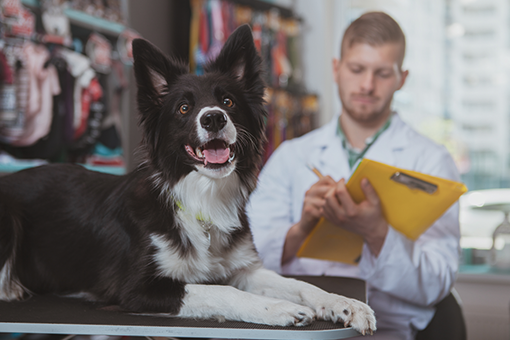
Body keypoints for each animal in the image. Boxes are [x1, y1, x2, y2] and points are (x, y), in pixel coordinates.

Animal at [0, 25, 374, 334]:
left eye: (228, 101)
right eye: (183, 108)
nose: (213, 118)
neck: (202, 197)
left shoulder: (244, 268)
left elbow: (300, 284)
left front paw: (344, 304)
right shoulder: (136, 289)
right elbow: (220, 290)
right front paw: (280, 308)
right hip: (10, 217)